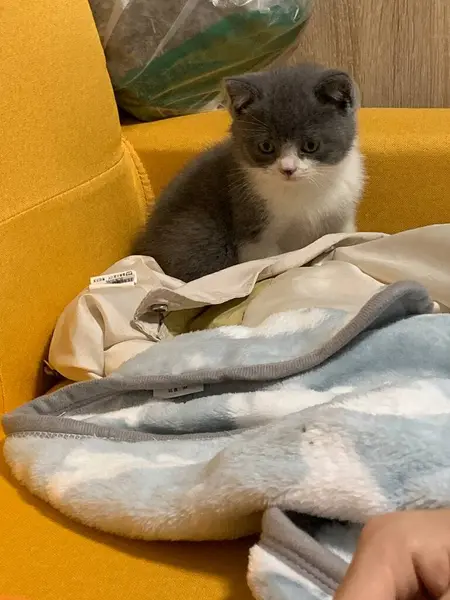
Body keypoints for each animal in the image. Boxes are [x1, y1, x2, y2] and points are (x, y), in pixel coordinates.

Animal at [135, 64, 364, 280]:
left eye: (310, 145)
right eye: (266, 146)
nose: (288, 169)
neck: (303, 191)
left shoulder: (341, 216)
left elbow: (341, 237)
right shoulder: (253, 230)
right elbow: (267, 260)